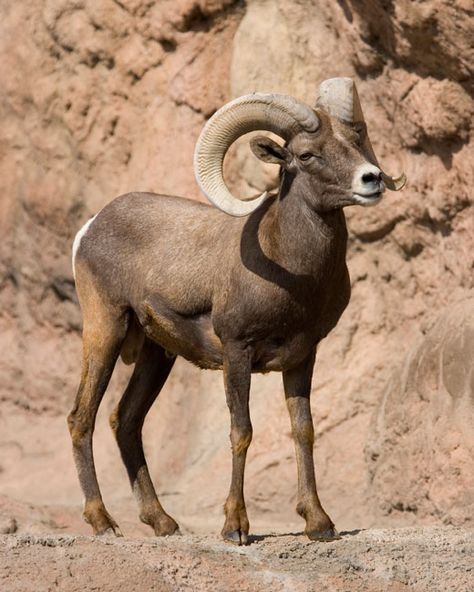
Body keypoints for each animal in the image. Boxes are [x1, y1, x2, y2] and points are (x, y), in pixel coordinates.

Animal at [68, 80, 406, 544]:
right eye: (306, 154)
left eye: (356, 141)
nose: (370, 180)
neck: (292, 271)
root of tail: (90, 229)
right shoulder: (237, 350)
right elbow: (241, 431)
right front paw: (236, 527)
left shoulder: (303, 356)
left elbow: (303, 430)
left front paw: (319, 523)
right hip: (106, 329)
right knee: (81, 418)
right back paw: (103, 522)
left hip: (157, 354)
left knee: (126, 420)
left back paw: (163, 522)